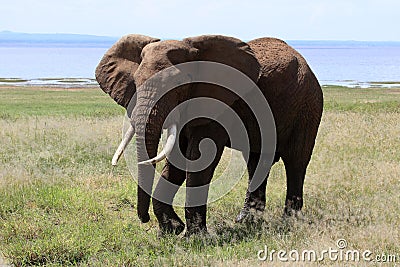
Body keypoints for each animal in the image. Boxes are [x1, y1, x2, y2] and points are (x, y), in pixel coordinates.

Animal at [95, 34, 324, 237]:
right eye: (135, 82)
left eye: (179, 85)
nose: (145, 219)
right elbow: (177, 160)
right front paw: (171, 230)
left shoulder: (219, 104)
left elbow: (198, 159)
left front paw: (194, 237)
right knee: (256, 160)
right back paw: (247, 221)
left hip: (308, 105)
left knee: (296, 161)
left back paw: (290, 222)